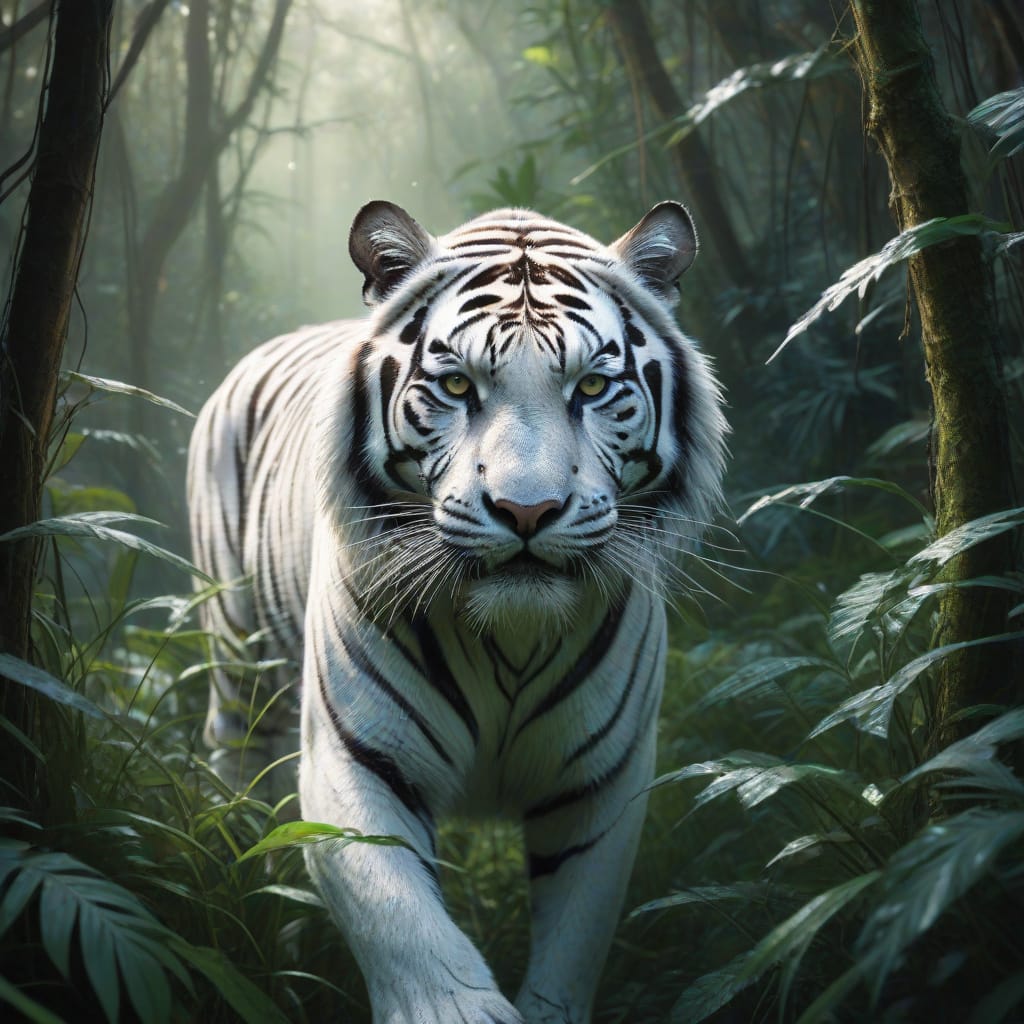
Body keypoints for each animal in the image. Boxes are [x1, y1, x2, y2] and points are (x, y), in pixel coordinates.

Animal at [187, 199, 727, 1024]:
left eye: (591, 388)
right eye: (456, 385)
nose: (527, 509)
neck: (511, 635)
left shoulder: (600, 781)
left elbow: (574, 941)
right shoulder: (357, 760)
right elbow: (401, 921)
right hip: (239, 662)